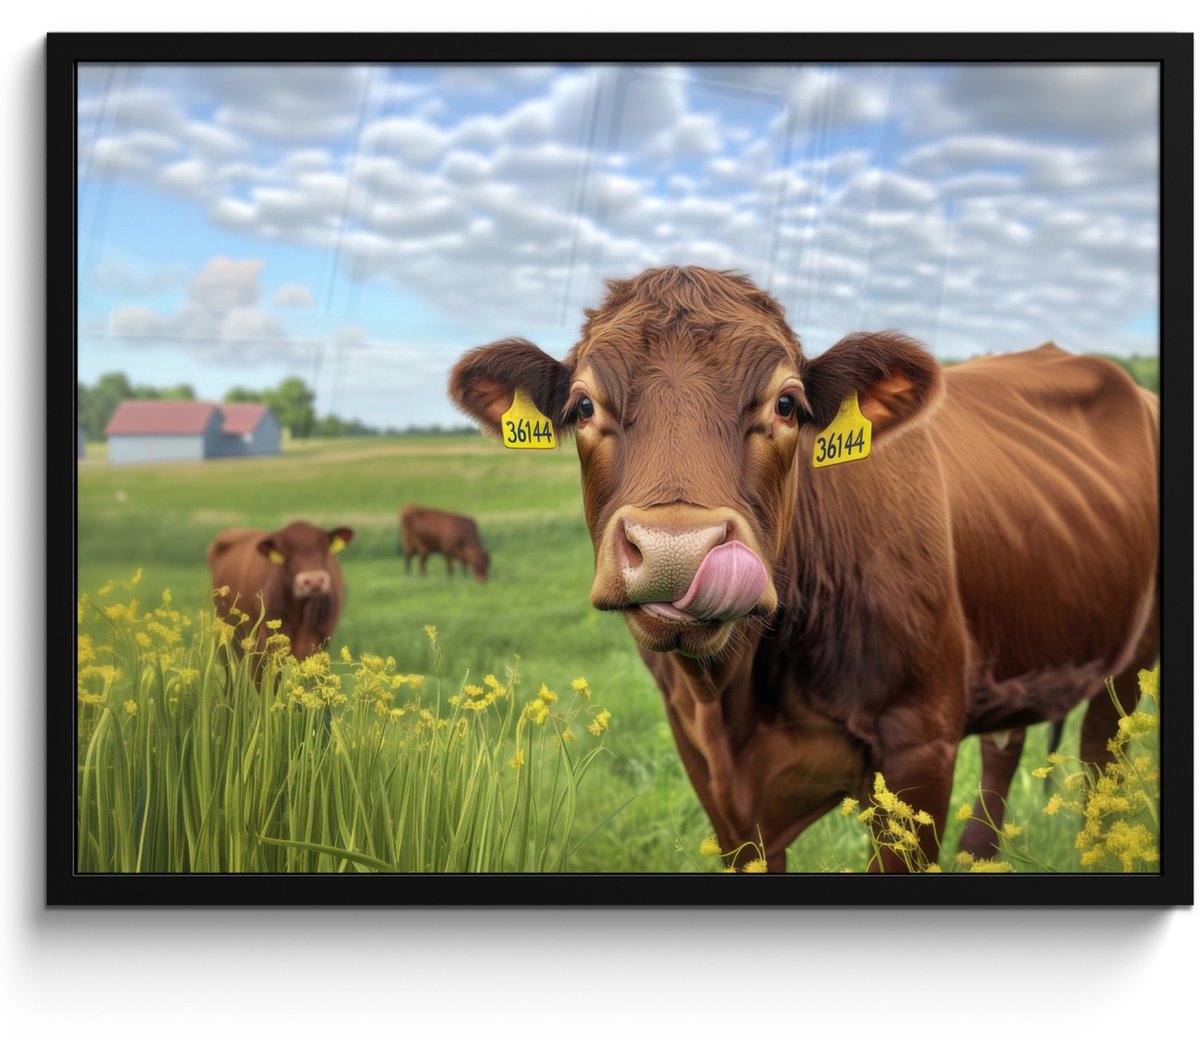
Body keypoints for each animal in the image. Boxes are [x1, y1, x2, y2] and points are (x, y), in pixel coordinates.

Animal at [448, 266, 1159, 872]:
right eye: (583, 406)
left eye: (787, 404)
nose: (678, 548)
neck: (735, 695)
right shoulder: (710, 771)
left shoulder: (919, 744)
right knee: (1005, 748)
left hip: (1129, 665)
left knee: (1102, 755)